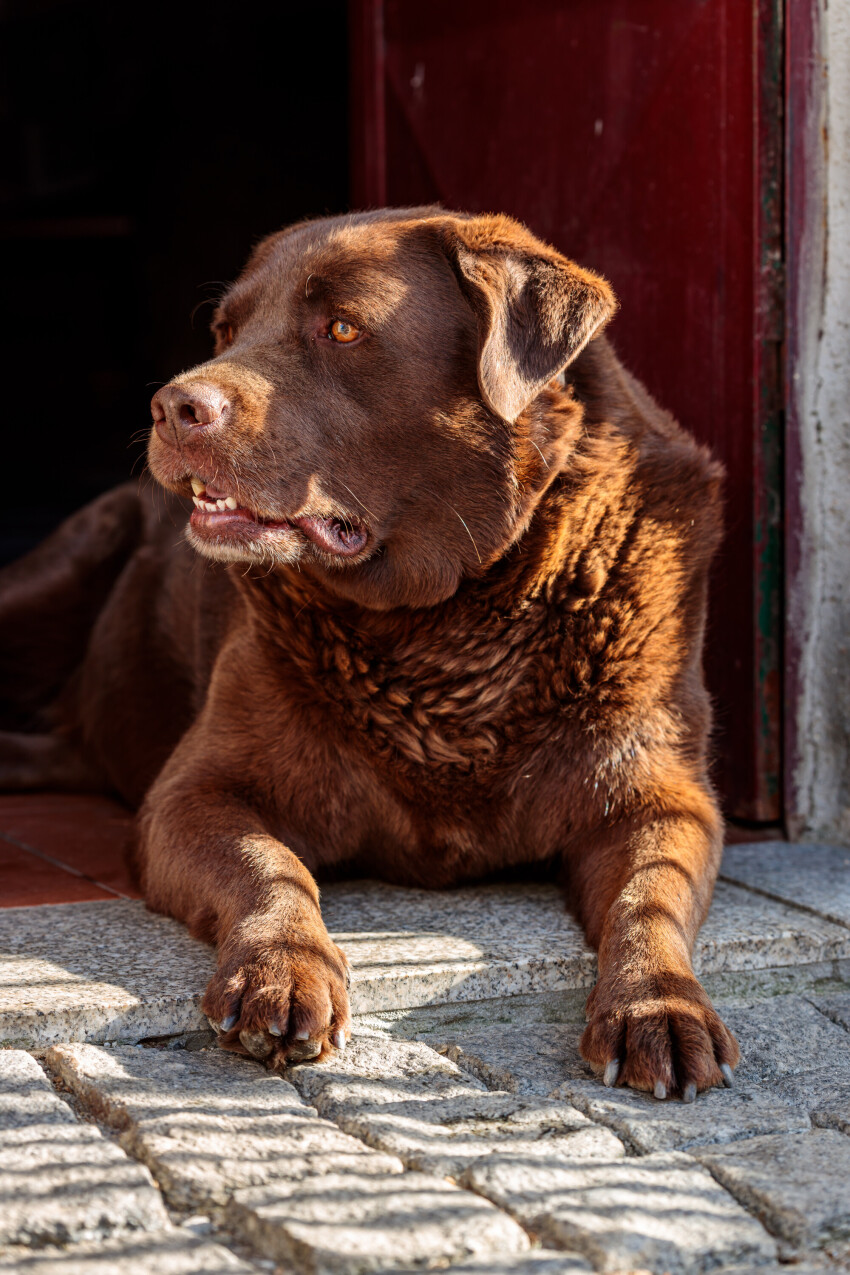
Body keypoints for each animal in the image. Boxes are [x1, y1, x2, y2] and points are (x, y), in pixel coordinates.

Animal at [0, 206, 739, 1096]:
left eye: (343, 329)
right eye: (226, 329)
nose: (171, 405)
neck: (444, 622)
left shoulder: (660, 795)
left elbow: (649, 897)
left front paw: (657, 1007)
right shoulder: (194, 794)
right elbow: (271, 864)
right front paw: (283, 972)